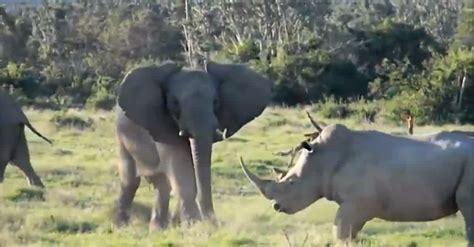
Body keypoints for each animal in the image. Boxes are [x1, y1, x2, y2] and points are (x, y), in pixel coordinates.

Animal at [115, 60, 274, 230]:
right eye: (175, 103)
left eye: (216, 101)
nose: (214, 223)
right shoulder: (161, 123)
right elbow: (180, 166)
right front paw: (193, 224)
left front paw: (189, 224)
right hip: (122, 136)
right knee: (130, 181)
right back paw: (121, 226)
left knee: (161, 185)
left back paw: (157, 229)